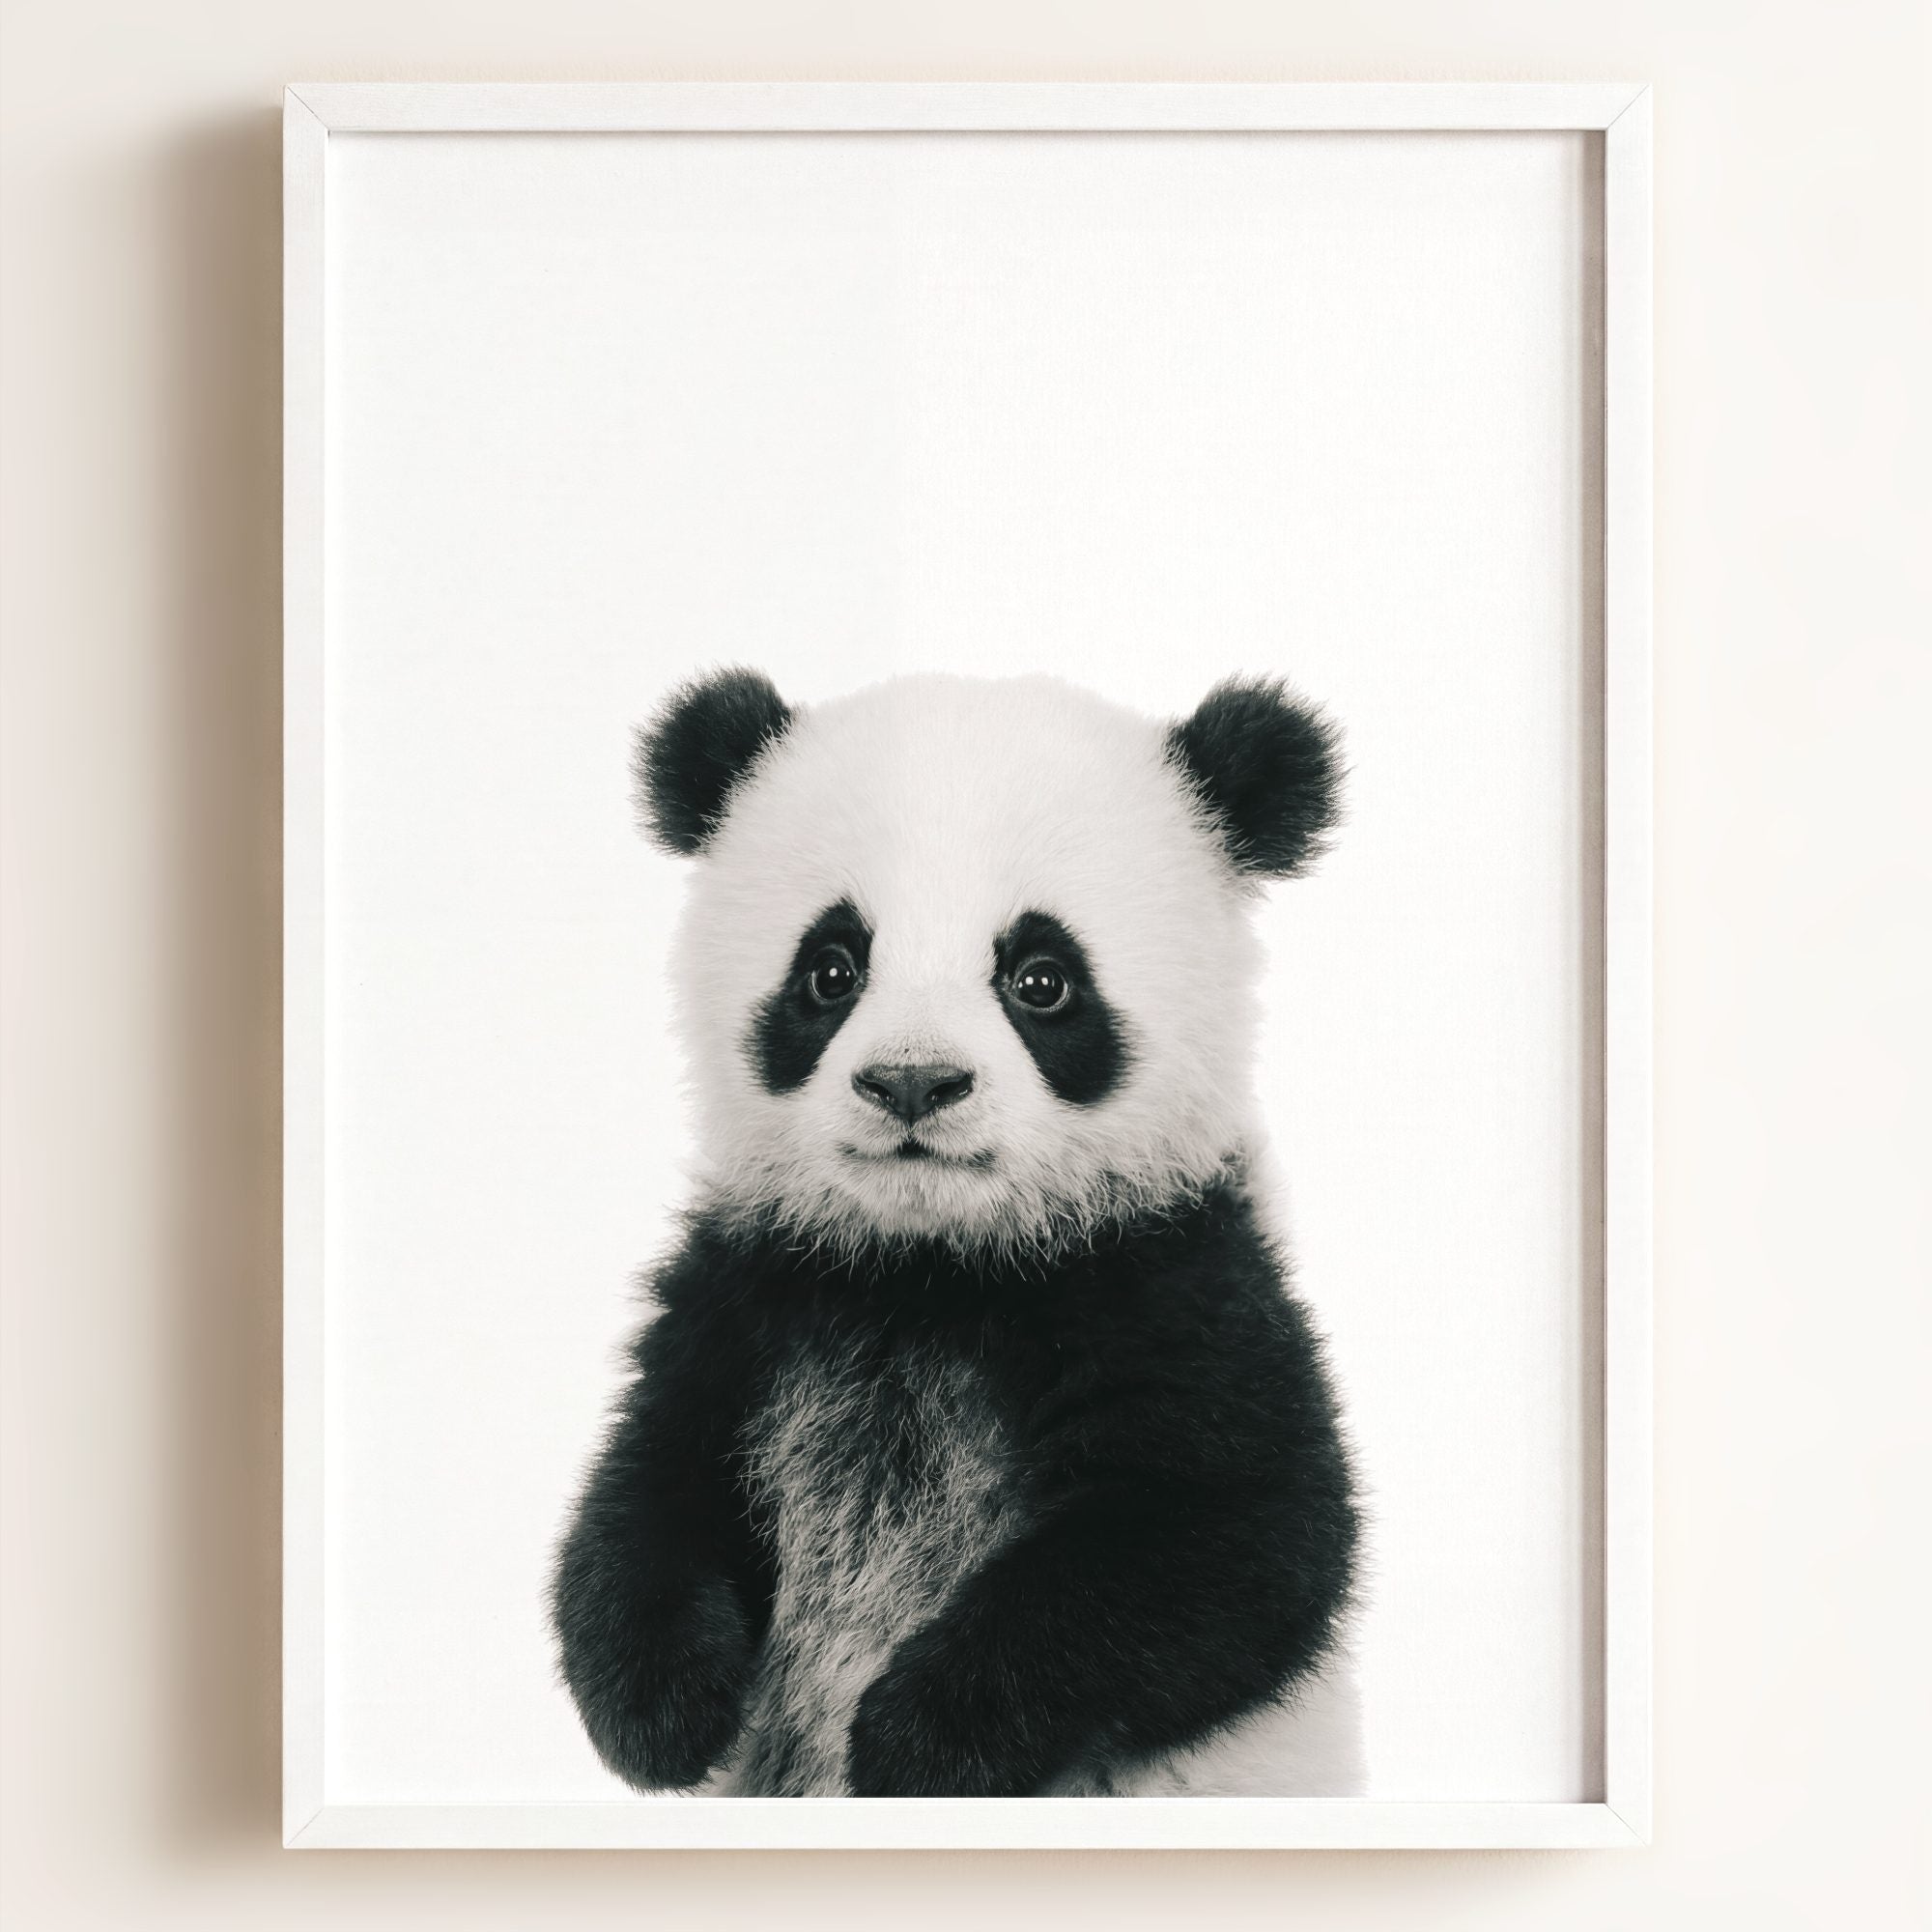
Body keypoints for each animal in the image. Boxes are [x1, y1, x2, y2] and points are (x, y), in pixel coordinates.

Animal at [552, 668, 1364, 1799]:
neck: (932, 1266)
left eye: (1040, 978)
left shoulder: (1173, 1279)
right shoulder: (752, 1292)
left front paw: (916, 1740)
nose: (911, 1082)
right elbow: (650, 1487)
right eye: (831, 969)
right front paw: (664, 1710)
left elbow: (1233, 1537)